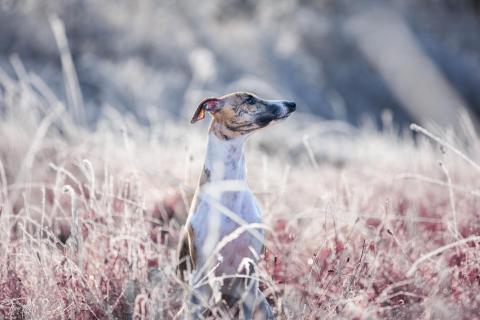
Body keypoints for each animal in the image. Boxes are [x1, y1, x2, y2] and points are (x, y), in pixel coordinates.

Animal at [176, 91, 296, 318]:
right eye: (249, 99)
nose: (291, 103)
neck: (229, 191)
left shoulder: (249, 279)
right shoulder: (201, 281)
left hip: (260, 304)